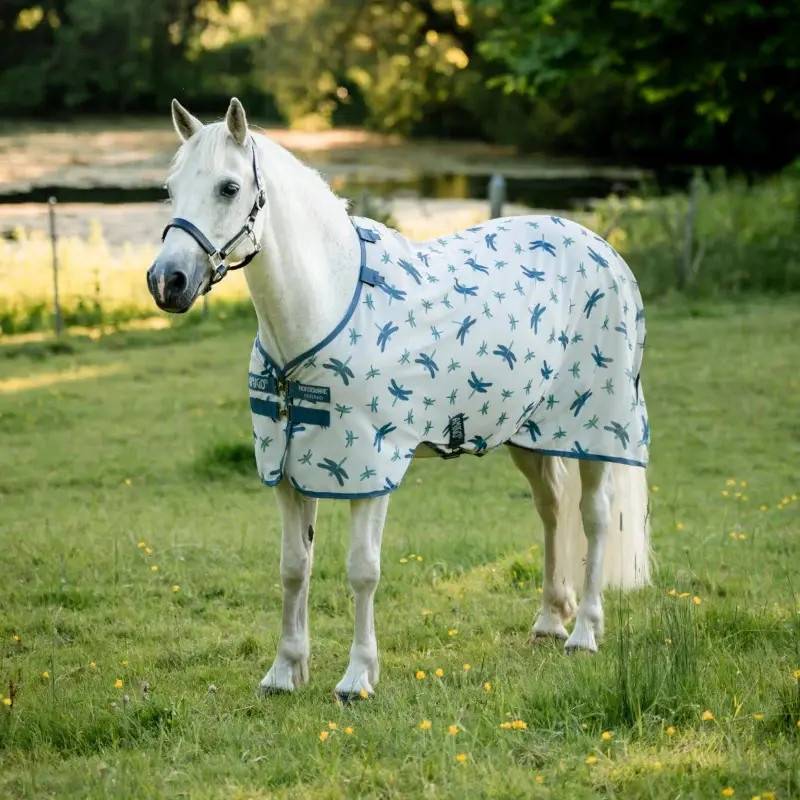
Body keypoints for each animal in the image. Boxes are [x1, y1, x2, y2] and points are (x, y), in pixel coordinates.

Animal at [147, 98, 650, 701]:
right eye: (170, 188)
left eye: (228, 187)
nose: (168, 281)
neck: (327, 307)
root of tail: (600, 246)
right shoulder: (288, 470)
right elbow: (293, 567)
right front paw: (284, 672)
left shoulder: (371, 468)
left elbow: (363, 570)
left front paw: (357, 677)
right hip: (530, 433)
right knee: (552, 509)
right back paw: (551, 620)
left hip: (596, 432)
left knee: (594, 518)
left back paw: (585, 632)